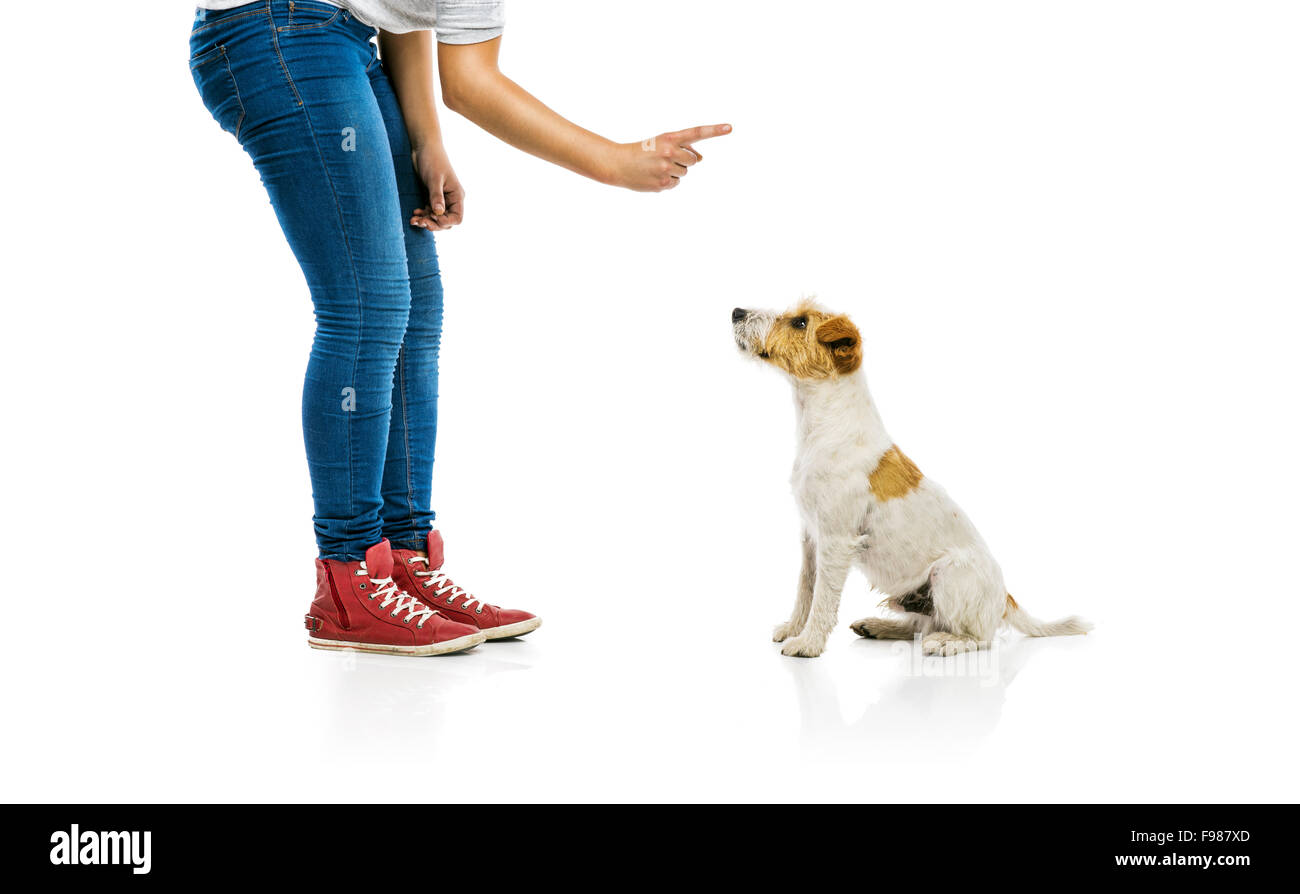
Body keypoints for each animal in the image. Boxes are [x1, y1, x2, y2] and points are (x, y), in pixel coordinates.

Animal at [733, 300, 1086, 657]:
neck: (827, 427)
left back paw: (945, 643)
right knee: (919, 625)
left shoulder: (836, 540)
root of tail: (1006, 598)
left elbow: (823, 597)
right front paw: (794, 628)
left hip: (947, 575)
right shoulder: (811, 537)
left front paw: (808, 643)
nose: (736, 312)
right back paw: (876, 626)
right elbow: (805, 589)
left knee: (978, 637)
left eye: (800, 322)